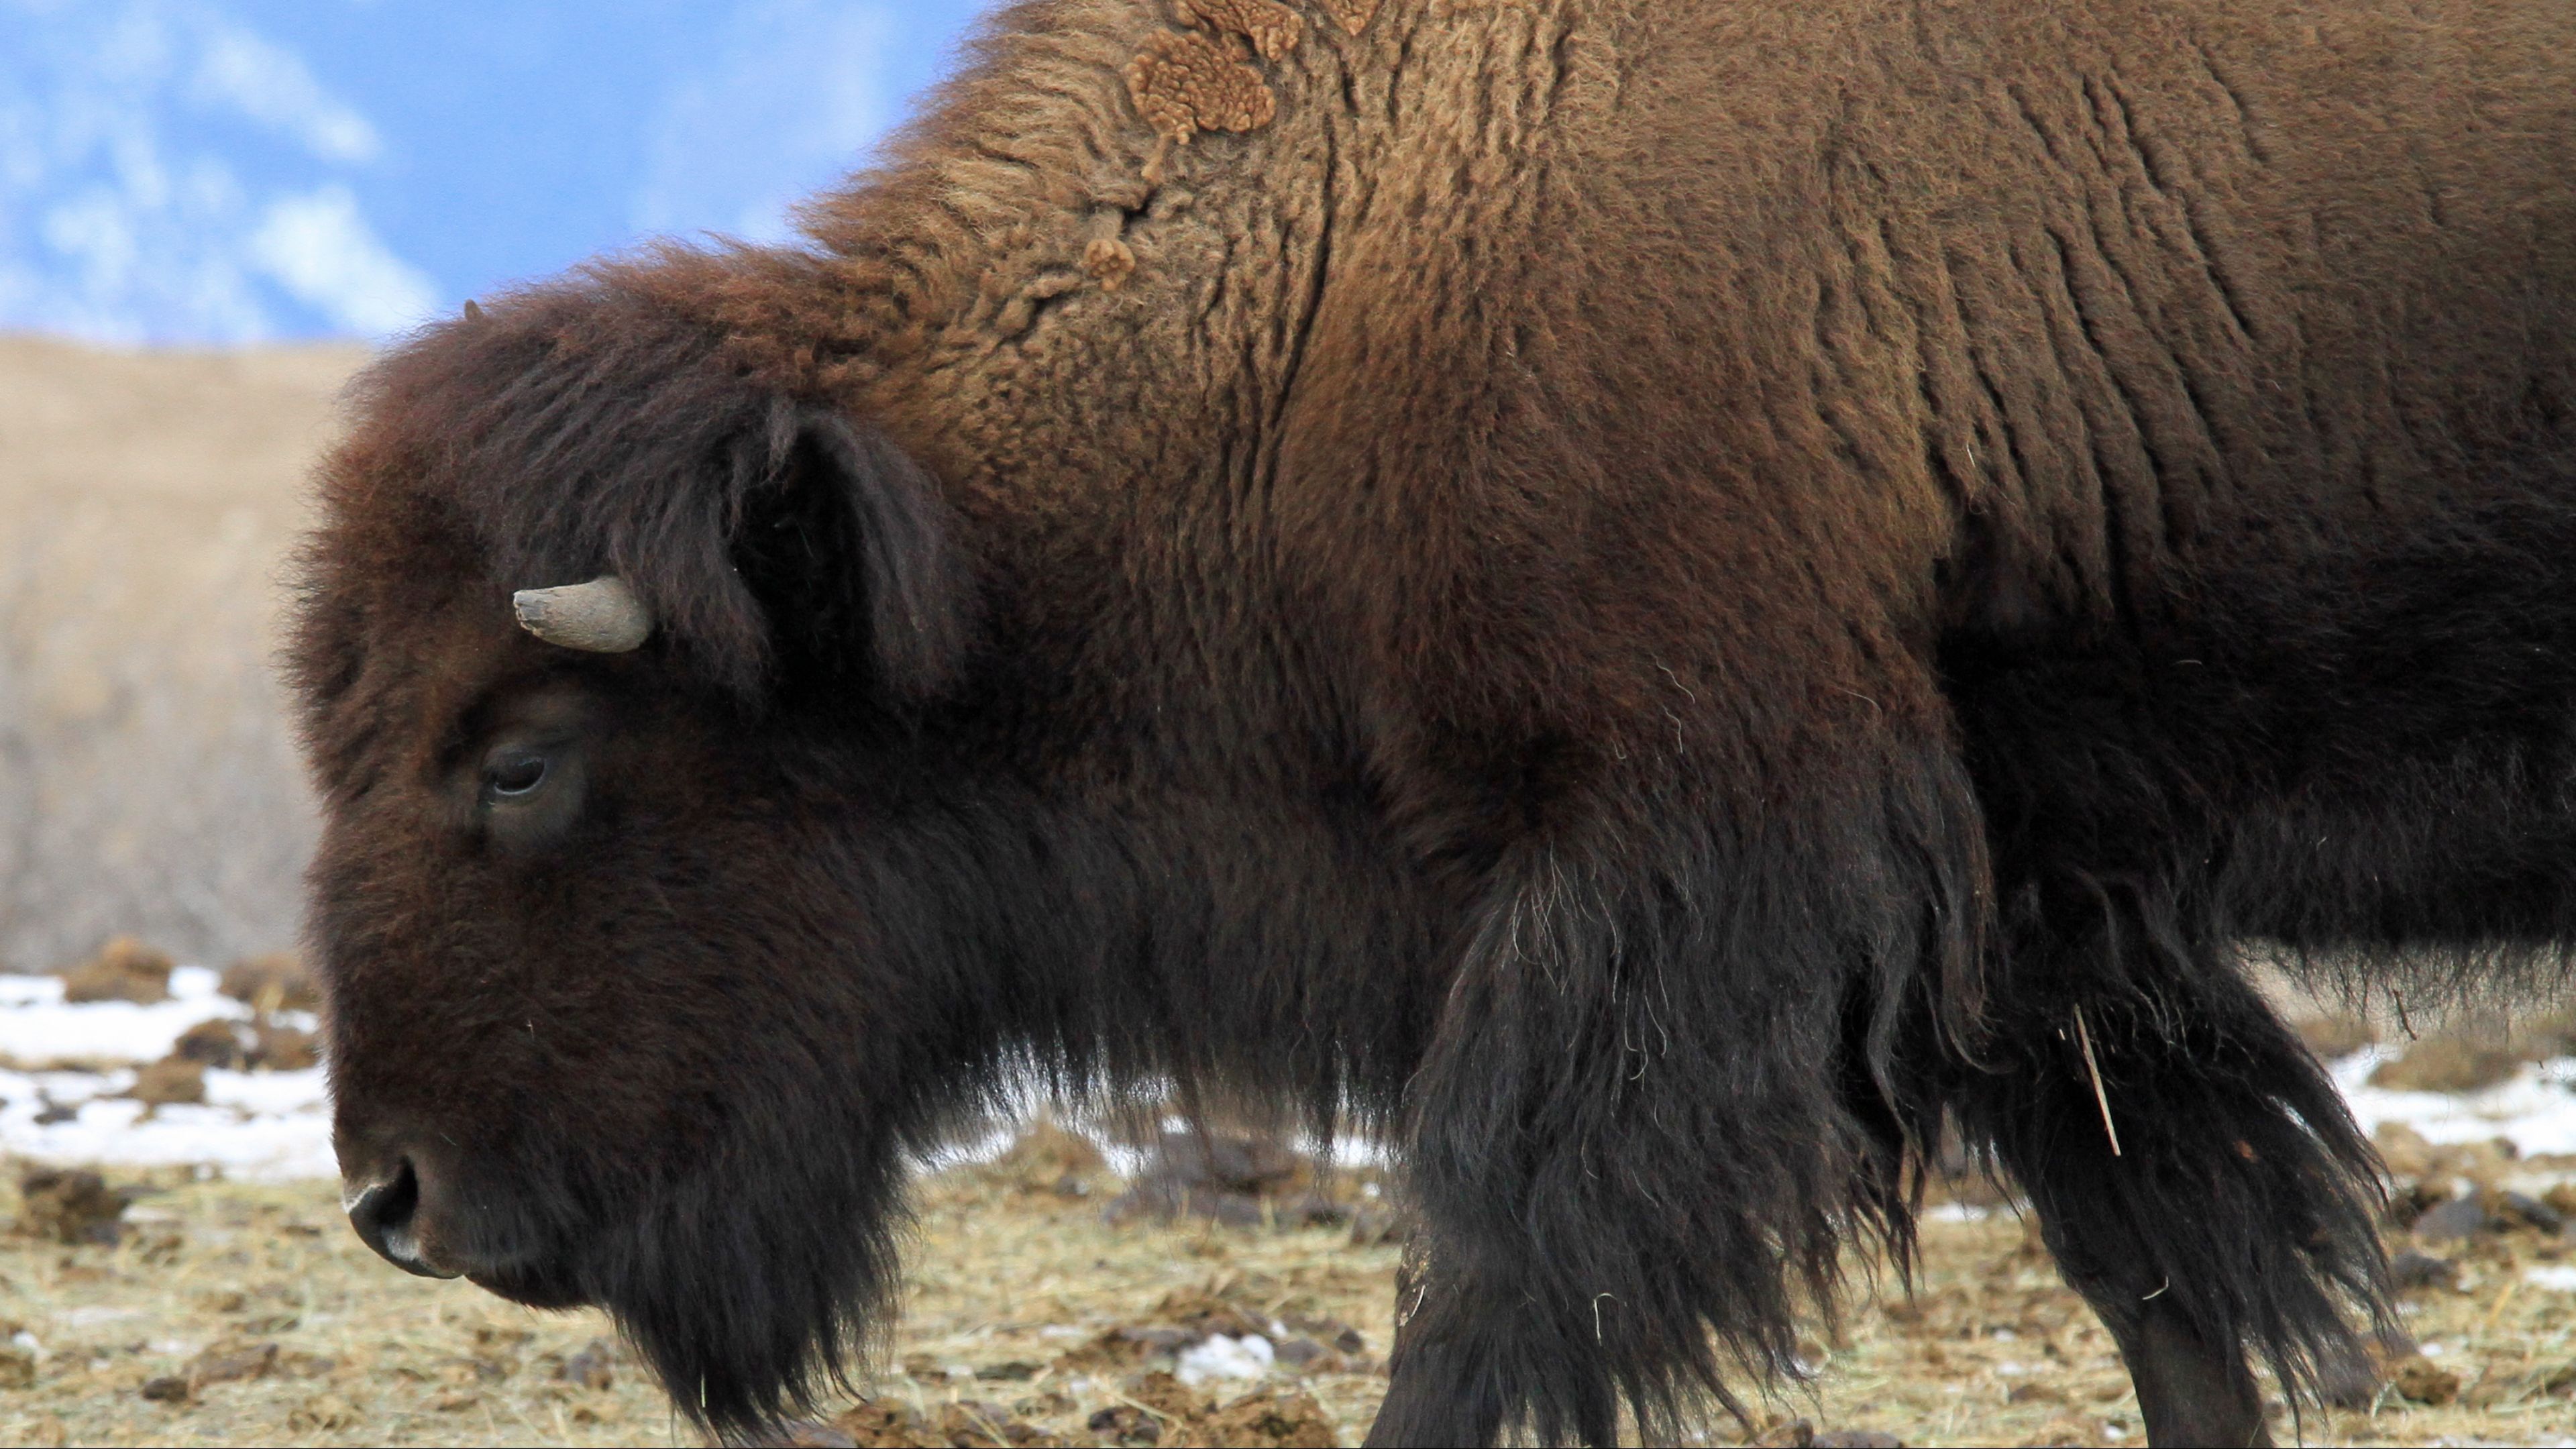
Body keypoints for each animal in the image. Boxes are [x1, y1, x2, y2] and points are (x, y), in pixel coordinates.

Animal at [290, 1, 2576, 1444]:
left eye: (520, 760)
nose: (394, 1198)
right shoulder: (2025, 900)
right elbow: (2167, 1282)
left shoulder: (1682, 862)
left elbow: (1493, 1277)